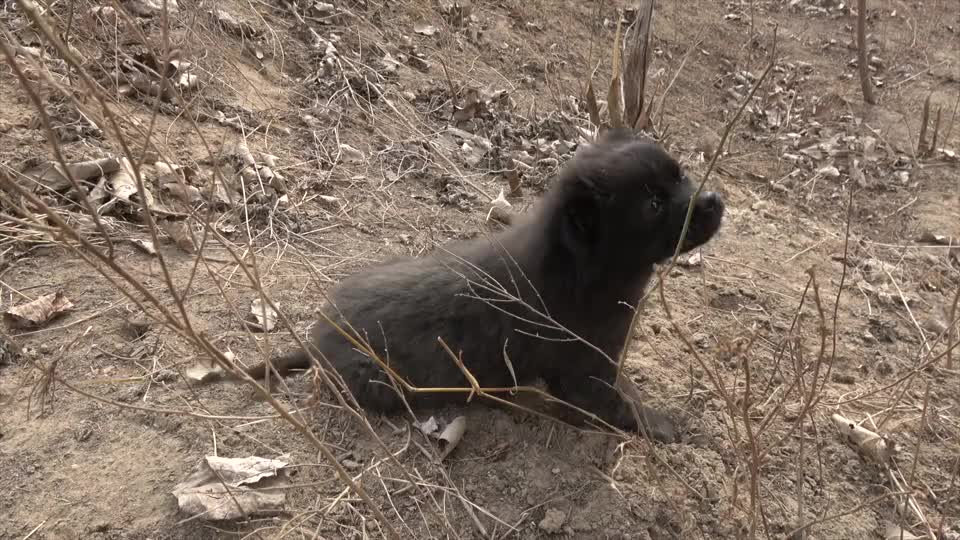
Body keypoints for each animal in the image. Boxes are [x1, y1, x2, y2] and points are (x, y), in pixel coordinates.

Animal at [244, 129, 724, 440]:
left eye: (680, 175)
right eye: (654, 204)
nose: (715, 200)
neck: (576, 265)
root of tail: (315, 339)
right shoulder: (584, 370)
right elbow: (618, 404)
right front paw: (664, 425)